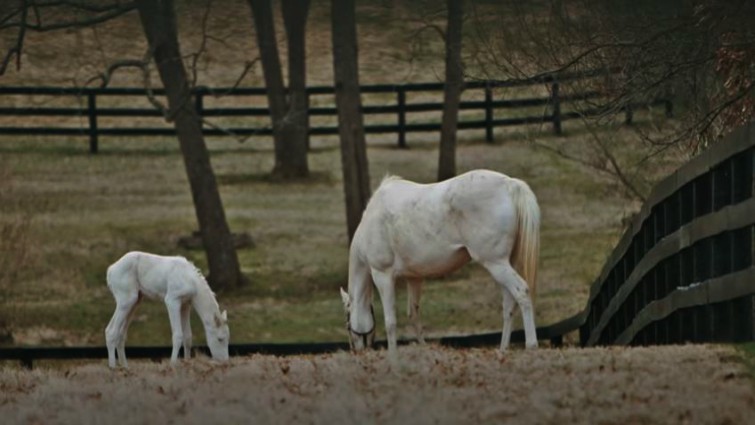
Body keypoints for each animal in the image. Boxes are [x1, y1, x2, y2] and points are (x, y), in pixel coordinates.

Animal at [340, 168, 540, 354]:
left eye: (348, 322)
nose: (355, 350)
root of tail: (509, 184)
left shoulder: (382, 275)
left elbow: (390, 322)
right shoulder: (414, 278)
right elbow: (413, 314)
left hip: (496, 263)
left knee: (521, 292)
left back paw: (531, 345)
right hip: (503, 265)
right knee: (509, 304)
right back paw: (503, 349)